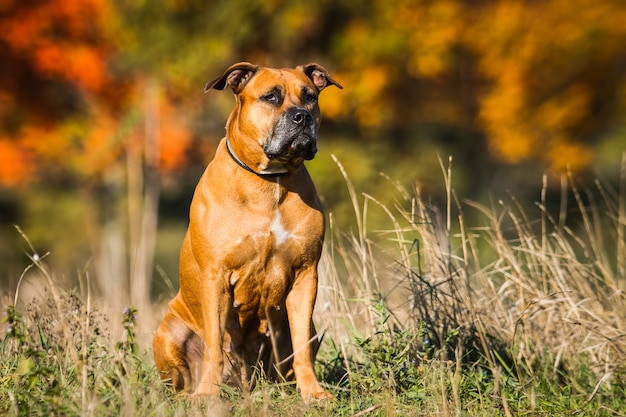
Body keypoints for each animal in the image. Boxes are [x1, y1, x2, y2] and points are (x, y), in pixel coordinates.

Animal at [154, 61, 344, 400]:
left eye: (310, 97)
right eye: (271, 97)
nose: (302, 116)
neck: (268, 182)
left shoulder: (306, 275)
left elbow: (302, 349)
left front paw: (314, 393)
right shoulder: (215, 276)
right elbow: (215, 344)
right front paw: (207, 395)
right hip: (168, 333)